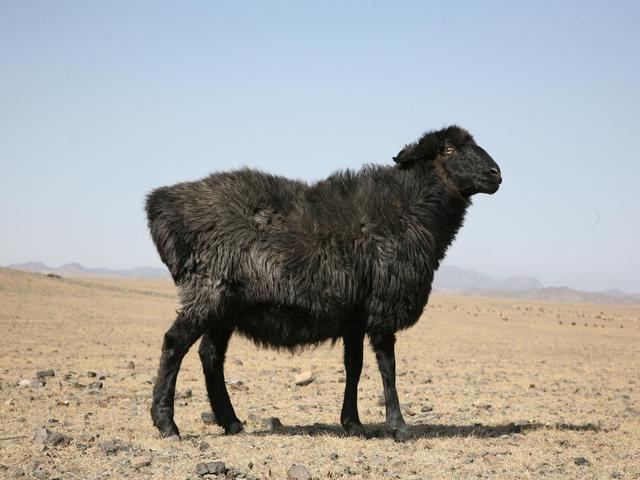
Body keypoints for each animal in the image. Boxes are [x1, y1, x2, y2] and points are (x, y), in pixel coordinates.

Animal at [146, 125, 502, 442]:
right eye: (448, 149)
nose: (496, 173)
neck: (409, 208)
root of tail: (162, 206)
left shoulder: (355, 316)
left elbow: (354, 366)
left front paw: (353, 424)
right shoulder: (381, 308)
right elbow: (388, 367)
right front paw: (398, 427)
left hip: (227, 306)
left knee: (210, 355)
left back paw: (230, 421)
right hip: (209, 293)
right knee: (174, 344)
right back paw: (167, 424)